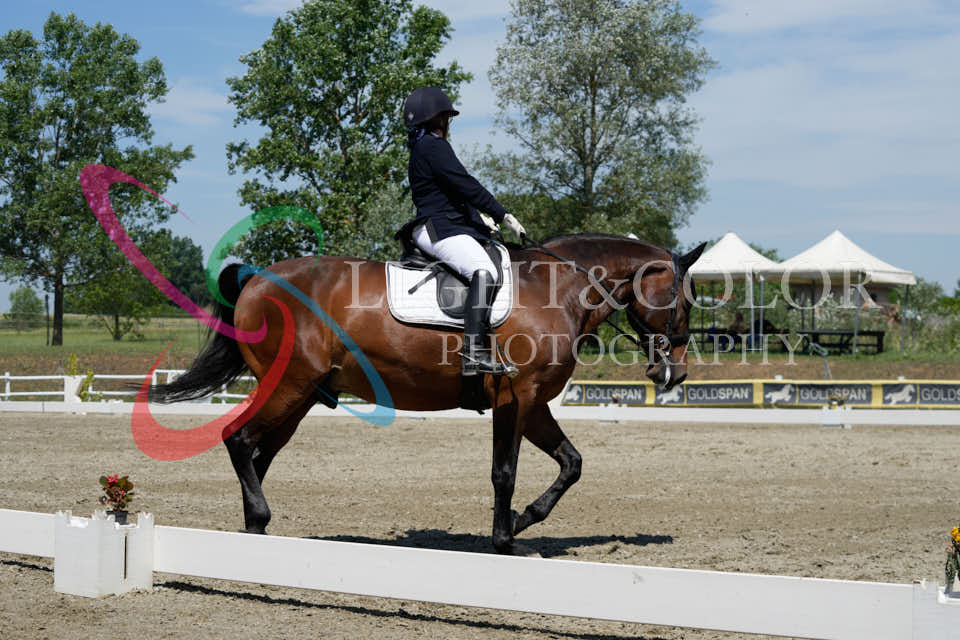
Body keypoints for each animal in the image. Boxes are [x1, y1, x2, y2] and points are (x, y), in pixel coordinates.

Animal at [151, 233, 705, 557]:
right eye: (684, 300)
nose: (674, 373)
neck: (559, 288)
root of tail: (258, 278)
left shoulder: (534, 402)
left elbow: (571, 463)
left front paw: (523, 521)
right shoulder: (517, 396)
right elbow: (505, 472)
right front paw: (506, 540)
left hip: (303, 394)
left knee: (259, 452)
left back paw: (254, 532)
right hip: (289, 385)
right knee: (240, 439)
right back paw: (259, 519)